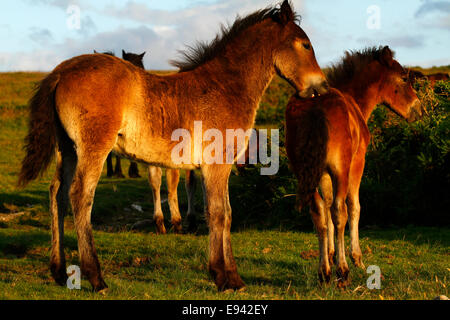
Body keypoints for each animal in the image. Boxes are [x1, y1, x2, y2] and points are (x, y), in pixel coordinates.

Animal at [18, 0, 326, 292]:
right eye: (305, 44)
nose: (320, 87)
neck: (224, 88)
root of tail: (61, 71)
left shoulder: (220, 168)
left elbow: (225, 214)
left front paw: (235, 278)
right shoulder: (215, 166)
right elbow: (218, 214)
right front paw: (222, 277)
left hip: (68, 149)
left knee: (57, 194)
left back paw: (59, 272)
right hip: (93, 148)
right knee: (80, 195)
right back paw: (96, 278)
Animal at [284, 45, 422, 288]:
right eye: (404, 78)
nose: (420, 110)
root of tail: (315, 108)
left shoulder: (323, 174)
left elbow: (326, 208)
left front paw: (330, 254)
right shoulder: (357, 163)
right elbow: (354, 206)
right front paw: (356, 258)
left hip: (304, 172)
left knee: (318, 211)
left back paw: (324, 272)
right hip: (341, 169)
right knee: (341, 210)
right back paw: (343, 271)